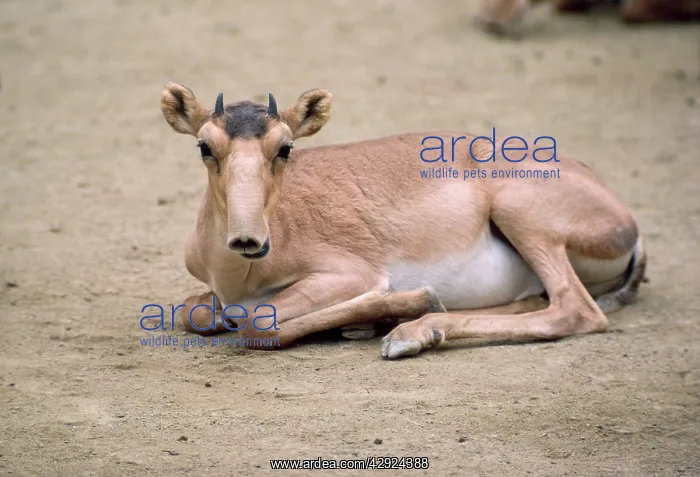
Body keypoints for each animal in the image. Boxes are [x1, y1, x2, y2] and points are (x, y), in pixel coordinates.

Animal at [160, 83, 647, 359]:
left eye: (285, 146)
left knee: (574, 309)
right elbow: (193, 311)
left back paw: (411, 330)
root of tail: (626, 222)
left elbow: (258, 322)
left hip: (520, 216)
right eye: (205, 145)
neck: (239, 274)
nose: (249, 240)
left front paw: (404, 306)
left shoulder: (349, 275)